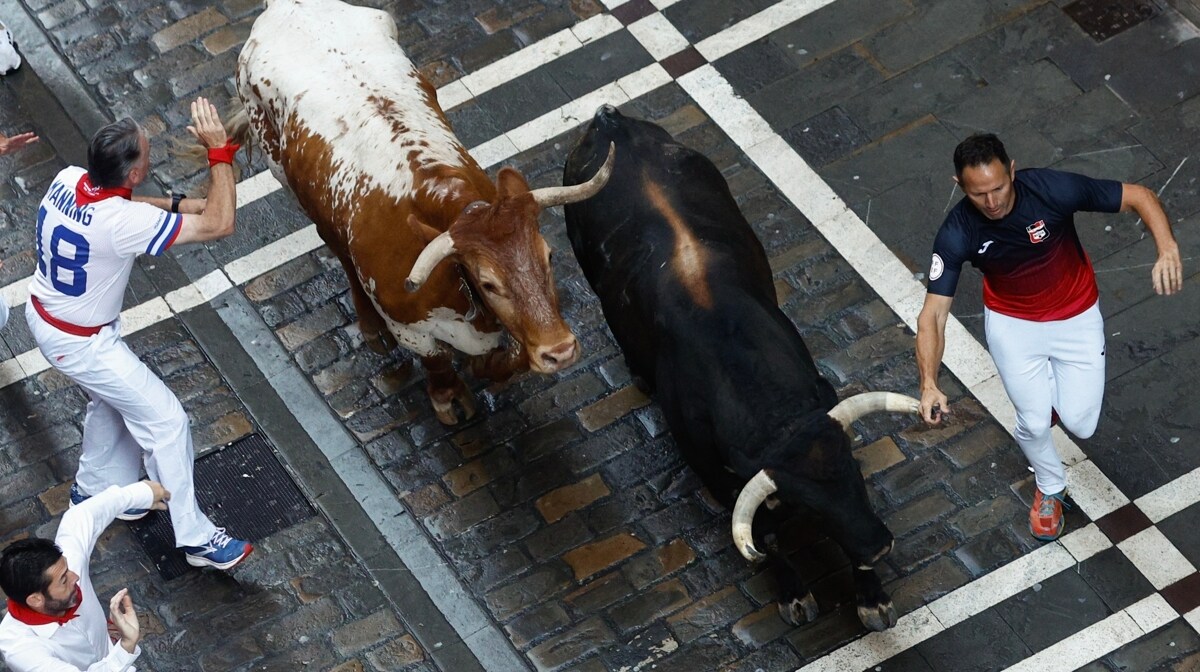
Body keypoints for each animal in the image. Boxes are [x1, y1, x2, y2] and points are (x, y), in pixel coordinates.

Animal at [230, 0, 614, 422]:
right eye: (488, 283)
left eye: (548, 256)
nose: (559, 351)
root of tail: (286, 7)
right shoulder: (409, 327)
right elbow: (437, 362)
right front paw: (450, 399)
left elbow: (501, 362)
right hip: (284, 174)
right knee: (335, 247)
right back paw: (369, 326)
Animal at [561, 106, 916, 633]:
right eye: (810, 506)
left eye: (854, 472)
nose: (878, 545)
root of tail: (609, 120)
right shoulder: (715, 473)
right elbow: (764, 540)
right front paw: (794, 593)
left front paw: (873, 598)